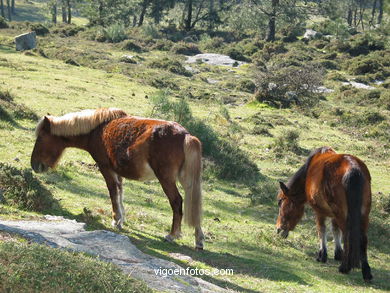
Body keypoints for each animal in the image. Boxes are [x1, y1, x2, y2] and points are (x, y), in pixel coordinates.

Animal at [30, 107, 204, 249]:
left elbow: (113, 192)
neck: (96, 130)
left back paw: (172, 235)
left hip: (166, 179)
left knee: (177, 201)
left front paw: (115, 220)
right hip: (187, 179)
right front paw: (121, 220)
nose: (35, 165)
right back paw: (199, 240)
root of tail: (186, 136)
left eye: (41, 138)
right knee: (194, 204)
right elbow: (120, 192)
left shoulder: (105, 168)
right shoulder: (117, 171)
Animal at [276, 146, 374, 280]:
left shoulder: (319, 211)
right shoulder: (334, 215)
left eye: (280, 201)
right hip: (363, 214)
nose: (278, 229)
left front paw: (322, 255)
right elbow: (335, 230)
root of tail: (353, 169)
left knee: (347, 236)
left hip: (342, 214)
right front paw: (338, 253)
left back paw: (344, 267)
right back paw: (366, 272)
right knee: (363, 238)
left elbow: (321, 230)